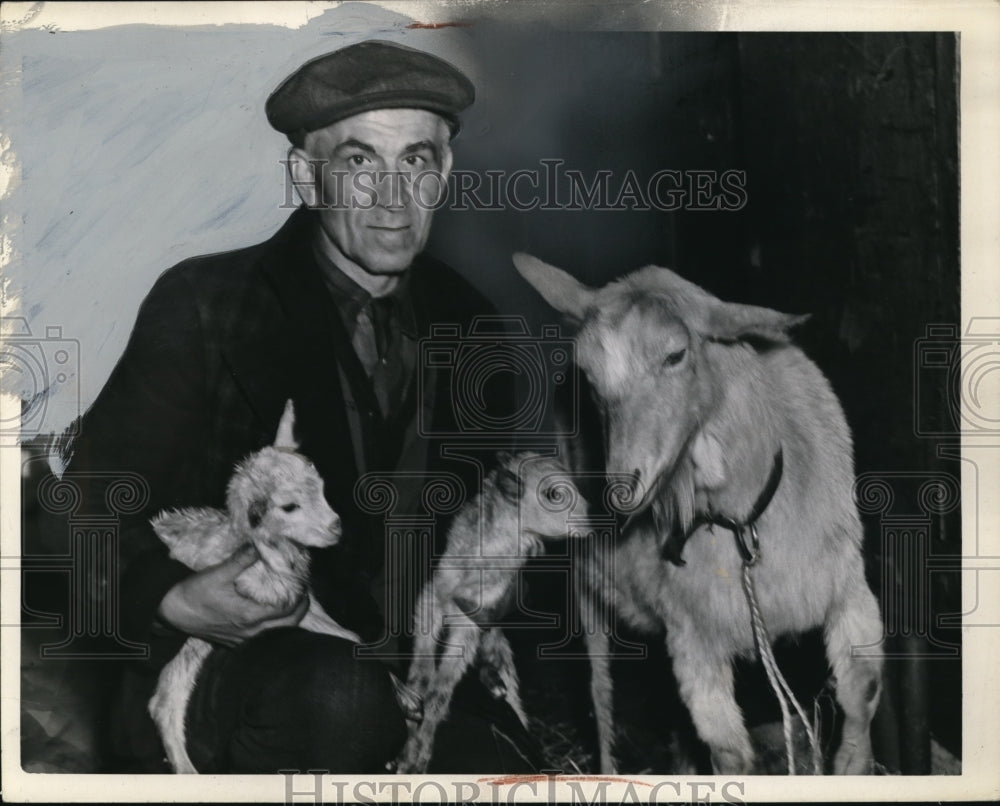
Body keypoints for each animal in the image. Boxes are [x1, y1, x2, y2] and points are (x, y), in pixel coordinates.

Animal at [148, 400, 360, 772]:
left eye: (320, 486)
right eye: (289, 507)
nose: (335, 527)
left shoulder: (302, 597)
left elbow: (345, 632)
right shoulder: (273, 598)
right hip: (188, 649)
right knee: (163, 704)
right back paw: (185, 767)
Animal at [394, 454, 584, 776]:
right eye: (553, 495)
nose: (592, 523)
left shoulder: (472, 620)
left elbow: (440, 692)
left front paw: (416, 757)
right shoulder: (433, 597)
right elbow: (422, 675)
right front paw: (409, 733)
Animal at [516, 256, 884, 780]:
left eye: (676, 355)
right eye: (588, 372)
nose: (622, 488)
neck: (743, 524)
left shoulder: (848, 591)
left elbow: (862, 693)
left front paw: (854, 765)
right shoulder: (694, 638)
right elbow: (731, 756)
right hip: (585, 583)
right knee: (599, 689)